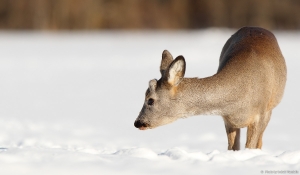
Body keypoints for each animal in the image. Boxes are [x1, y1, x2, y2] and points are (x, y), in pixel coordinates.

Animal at [134, 26, 286, 150]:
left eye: (150, 100)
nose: (137, 122)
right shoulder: (227, 119)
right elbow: (233, 148)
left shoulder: (261, 115)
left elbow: (251, 147)